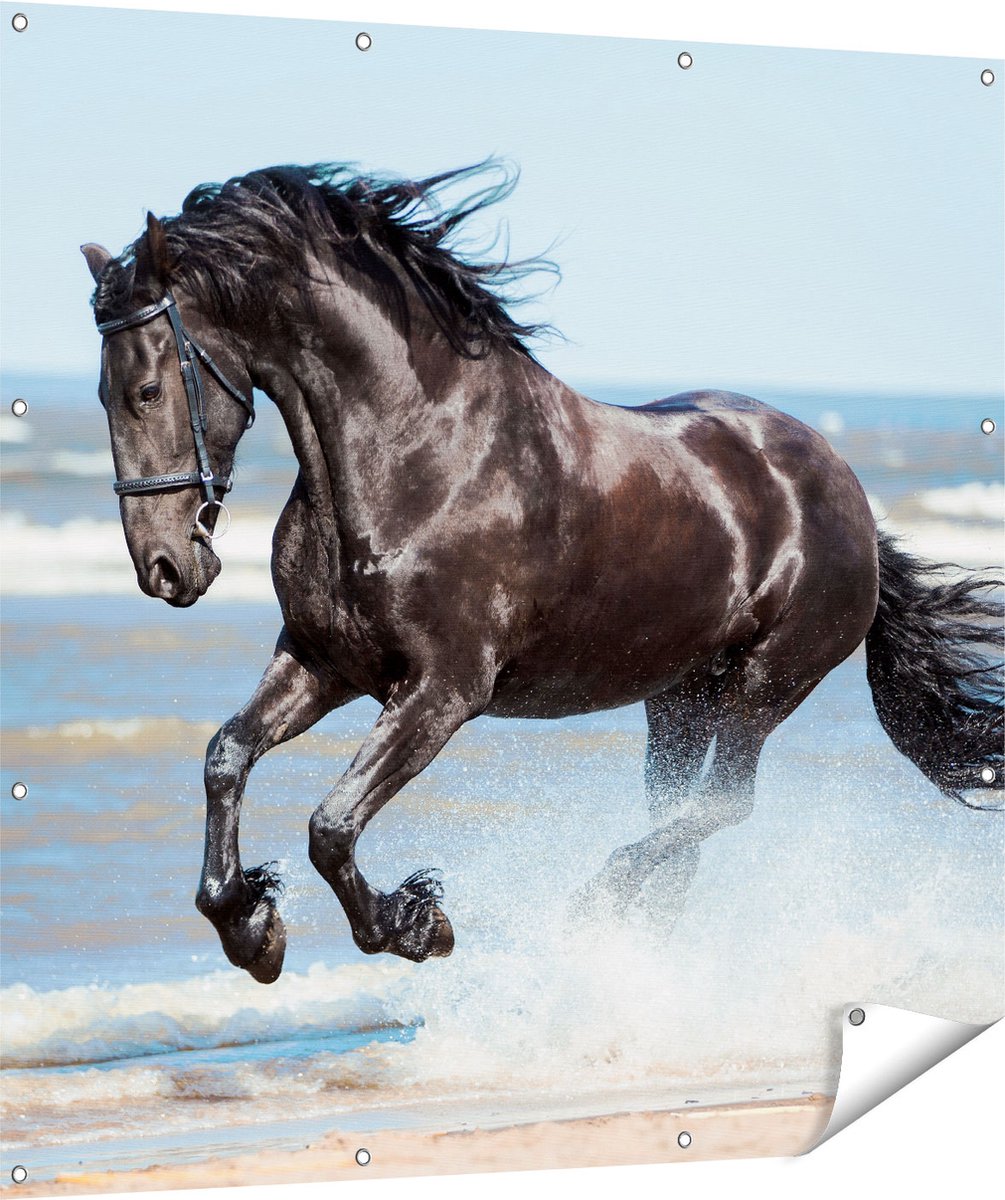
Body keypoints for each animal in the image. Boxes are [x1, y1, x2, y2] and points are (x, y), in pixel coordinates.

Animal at [81, 163, 1003, 985]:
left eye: (147, 390)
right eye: (101, 393)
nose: (164, 567)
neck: (414, 455)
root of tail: (850, 497)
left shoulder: (443, 691)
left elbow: (331, 825)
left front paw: (416, 925)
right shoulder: (323, 661)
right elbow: (226, 756)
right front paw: (250, 929)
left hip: (763, 686)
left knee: (719, 807)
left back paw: (593, 909)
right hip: (679, 696)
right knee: (681, 819)